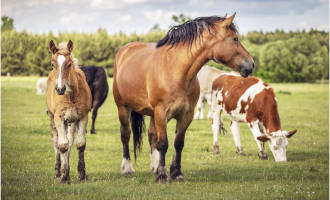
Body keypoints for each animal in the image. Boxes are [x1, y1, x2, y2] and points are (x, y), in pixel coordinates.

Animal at [46, 40, 91, 183]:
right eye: (52, 64)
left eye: (69, 64)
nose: (60, 89)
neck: (71, 95)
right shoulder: (59, 117)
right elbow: (62, 145)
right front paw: (64, 176)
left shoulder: (83, 116)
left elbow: (80, 144)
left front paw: (81, 174)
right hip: (53, 118)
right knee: (56, 141)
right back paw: (57, 171)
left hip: (71, 121)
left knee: (70, 141)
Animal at [112, 13, 254, 183]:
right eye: (235, 39)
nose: (251, 64)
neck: (176, 70)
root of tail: (125, 50)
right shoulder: (161, 112)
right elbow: (163, 143)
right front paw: (162, 175)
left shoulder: (186, 115)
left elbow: (178, 143)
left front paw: (176, 173)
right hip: (123, 108)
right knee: (126, 135)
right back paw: (127, 167)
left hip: (152, 114)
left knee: (151, 136)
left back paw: (154, 166)